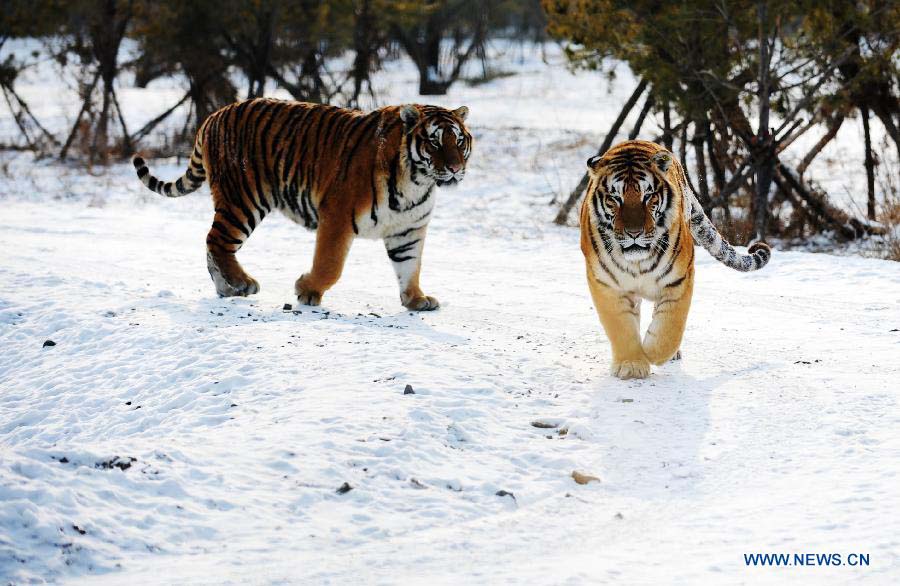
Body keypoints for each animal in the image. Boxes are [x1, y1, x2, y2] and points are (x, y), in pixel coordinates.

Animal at [135, 97, 472, 310]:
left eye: (459, 141)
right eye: (434, 142)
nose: (455, 168)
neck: (416, 182)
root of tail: (214, 116)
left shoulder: (408, 230)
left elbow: (410, 266)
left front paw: (415, 300)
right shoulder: (337, 216)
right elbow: (330, 265)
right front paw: (306, 291)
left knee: (212, 246)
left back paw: (228, 289)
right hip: (243, 200)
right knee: (216, 241)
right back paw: (241, 283)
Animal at [580, 138, 768, 378]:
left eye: (648, 196)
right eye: (616, 198)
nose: (634, 233)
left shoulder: (679, 278)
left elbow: (670, 327)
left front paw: (652, 353)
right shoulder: (605, 284)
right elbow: (620, 327)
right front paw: (632, 364)